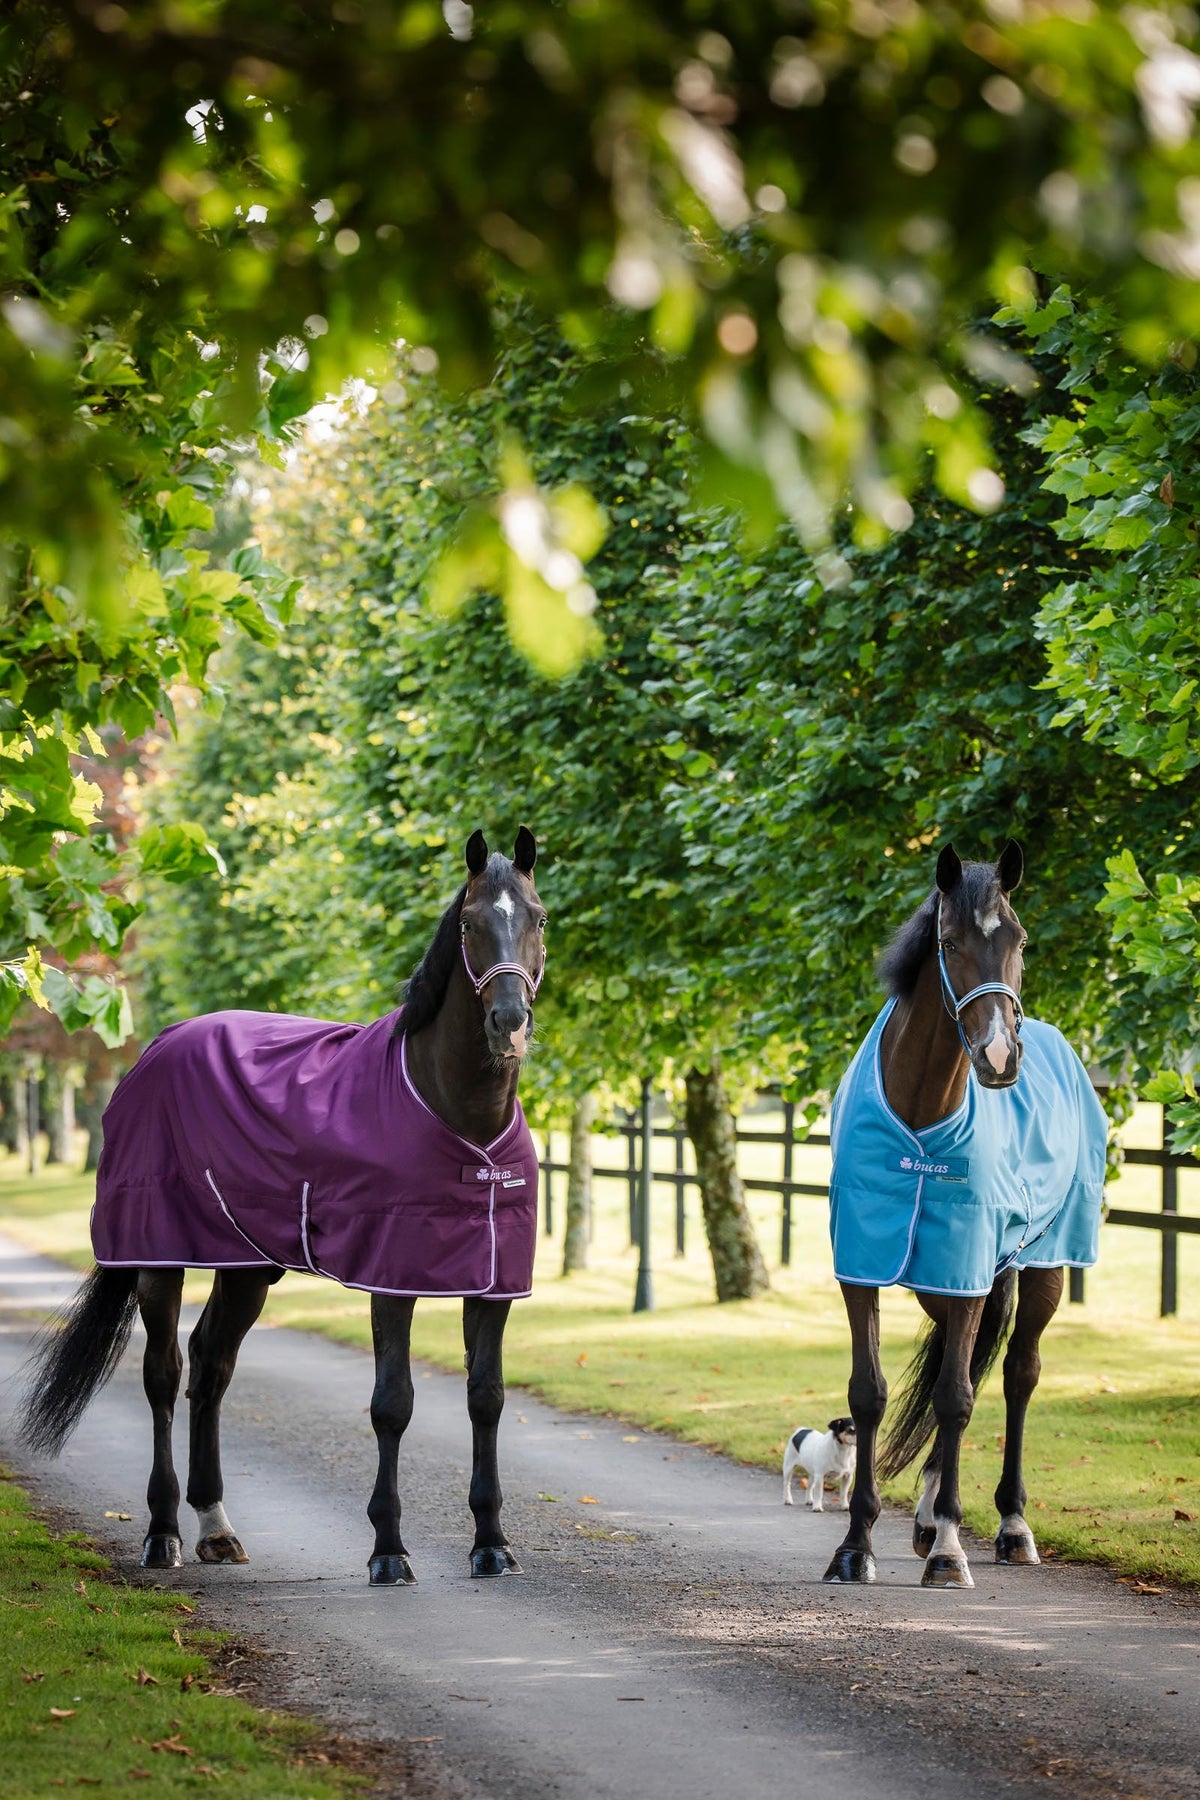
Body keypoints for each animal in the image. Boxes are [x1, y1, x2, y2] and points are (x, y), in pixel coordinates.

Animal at [20, 827, 546, 1585]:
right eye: (471, 923)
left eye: (538, 917)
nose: (509, 1021)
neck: (456, 1112)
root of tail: (157, 1046)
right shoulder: (390, 1277)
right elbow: (393, 1404)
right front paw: (389, 1551)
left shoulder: (493, 1282)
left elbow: (487, 1399)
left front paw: (491, 1544)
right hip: (158, 1257)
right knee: (163, 1375)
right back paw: (162, 1532)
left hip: (247, 1266)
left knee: (211, 1366)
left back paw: (216, 1527)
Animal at [823, 841, 1108, 1589]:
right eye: (949, 942)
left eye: (1020, 940)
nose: (1000, 1056)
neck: (923, 1109)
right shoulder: (863, 1264)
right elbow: (870, 1393)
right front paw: (855, 1546)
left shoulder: (967, 1268)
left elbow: (955, 1396)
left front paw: (950, 1550)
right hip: (946, 1286)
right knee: (972, 1365)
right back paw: (927, 1515)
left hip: (1039, 1270)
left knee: (1014, 1375)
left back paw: (1009, 1525)